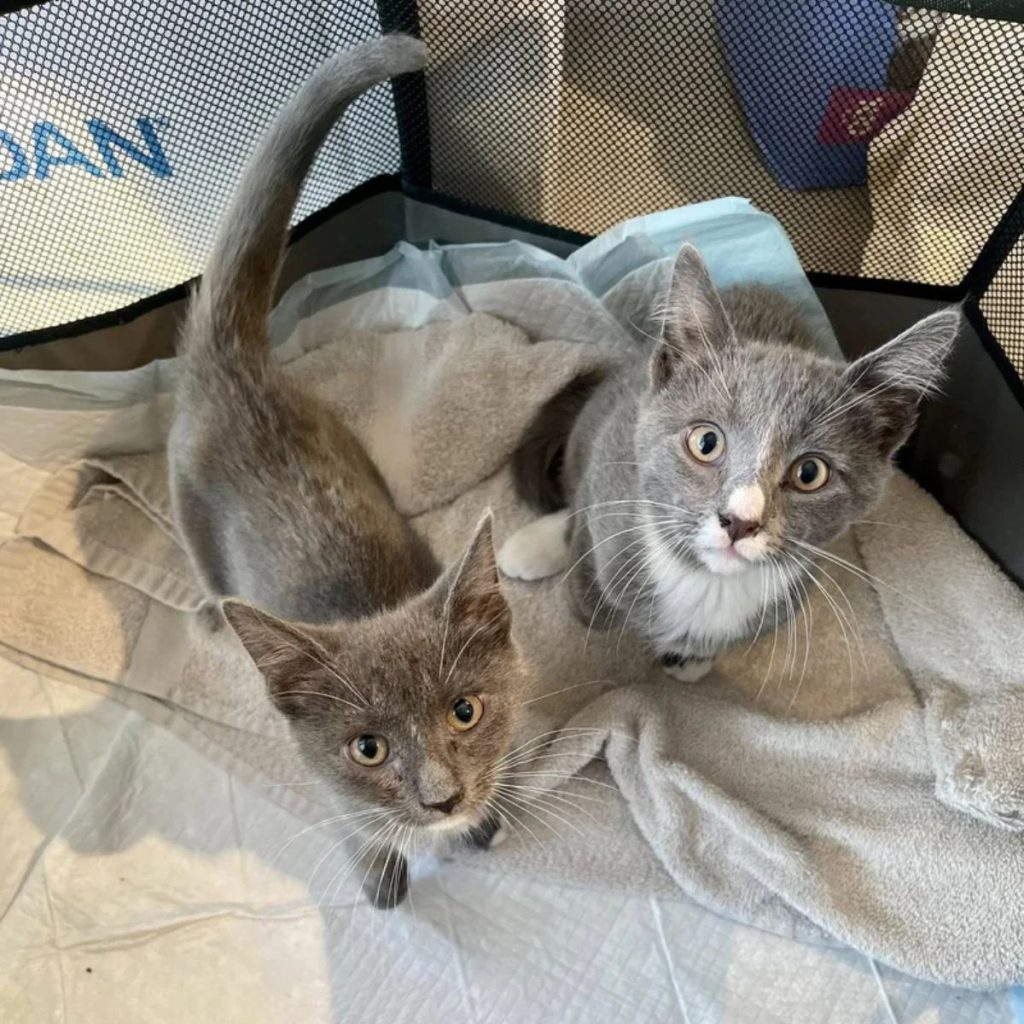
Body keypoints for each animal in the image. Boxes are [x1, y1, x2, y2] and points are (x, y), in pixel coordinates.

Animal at [168, 36, 532, 909]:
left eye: (465, 712)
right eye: (368, 749)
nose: (441, 797)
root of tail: (233, 363)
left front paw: (482, 819)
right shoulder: (325, 777)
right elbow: (356, 821)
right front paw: (382, 866)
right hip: (186, 504)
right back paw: (210, 609)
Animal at [503, 242, 958, 679]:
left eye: (810, 472)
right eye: (706, 442)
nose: (740, 521)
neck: (706, 582)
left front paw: (690, 658)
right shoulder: (610, 461)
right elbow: (590, 582)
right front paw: (587, 601)